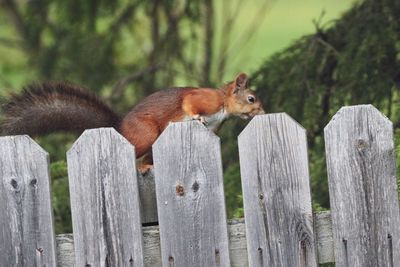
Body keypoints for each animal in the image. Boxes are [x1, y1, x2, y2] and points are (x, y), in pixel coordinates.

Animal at [0, 73, 266, 172]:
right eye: (251, 98)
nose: (262, 112)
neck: (223, 105)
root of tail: (118, 127)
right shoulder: (203, 99)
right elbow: (189, 104)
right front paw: (195, 116)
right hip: (146, 135)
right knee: (134, 155)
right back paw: (141, 167)